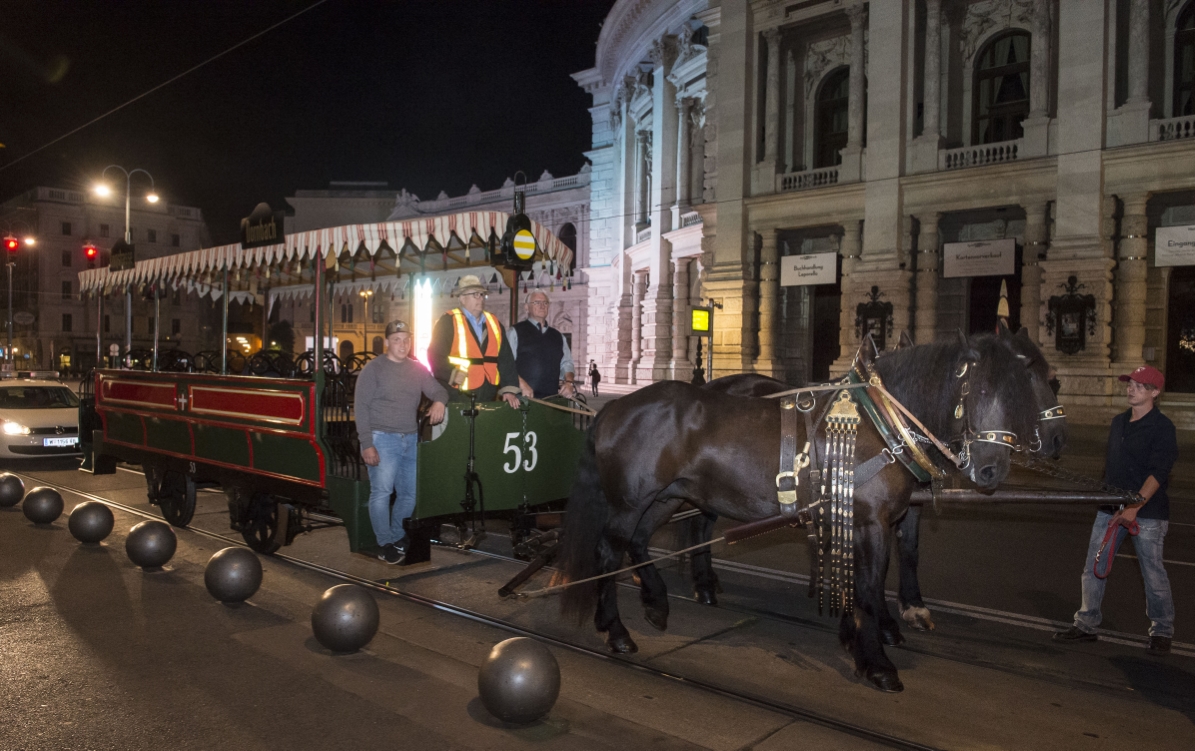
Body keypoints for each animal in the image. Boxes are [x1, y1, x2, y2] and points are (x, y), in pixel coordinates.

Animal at [554, 334, 1042, 693]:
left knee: (638, 543)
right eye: (980, 390)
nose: (992, 469)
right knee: (609, 551)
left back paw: (655, 602)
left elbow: (858, 584)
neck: (880, 425)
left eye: (1025, 389)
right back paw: (616, 629)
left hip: (667, 496)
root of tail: (614, 406)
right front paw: (877, 662)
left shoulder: (856, 521)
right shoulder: (869, 523)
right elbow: (868, 589)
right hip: (632, 501)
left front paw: (858, 641)